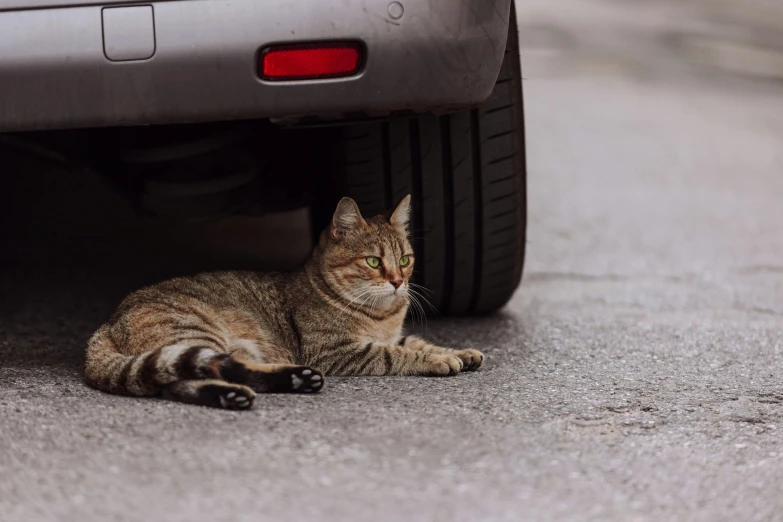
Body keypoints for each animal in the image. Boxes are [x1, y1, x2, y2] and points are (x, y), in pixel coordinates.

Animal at [84, 194, 484, 406]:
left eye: (404, 260)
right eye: (373, 262)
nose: (399, 282)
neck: (381, 315)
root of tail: (106, 324)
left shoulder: (390, 336)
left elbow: (418, 341)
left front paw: (459, 352)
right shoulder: (337, 352)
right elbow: (397, 354)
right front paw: (440, 361)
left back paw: (294, 380)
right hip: (195, 332)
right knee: (184, 379)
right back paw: (236, 394)